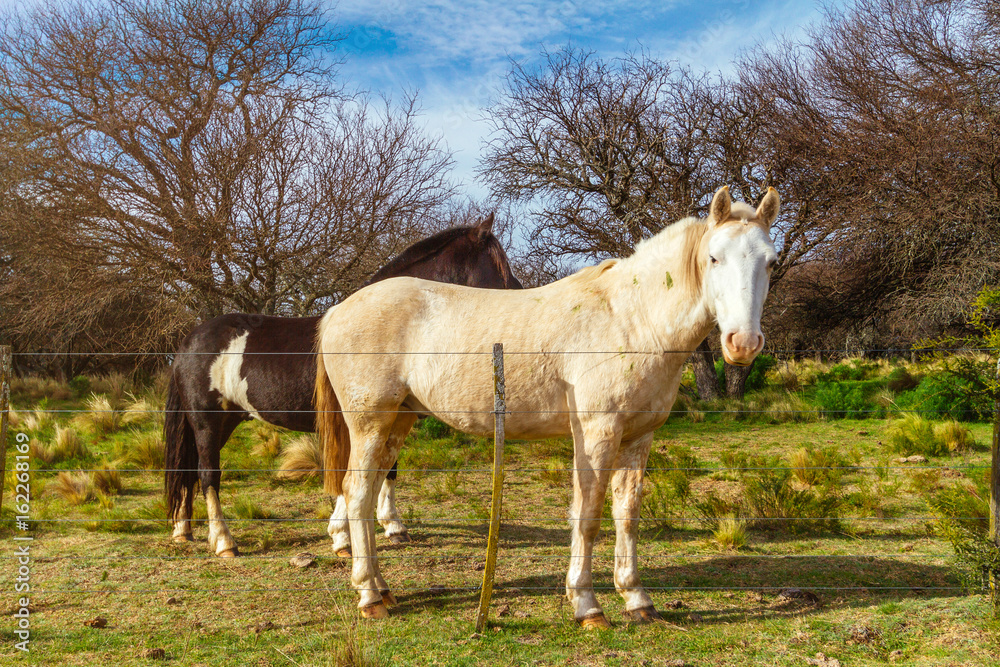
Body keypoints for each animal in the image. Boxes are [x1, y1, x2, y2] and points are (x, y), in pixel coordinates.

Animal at [164, 214, 523, 557]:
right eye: (499, 267)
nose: (521, 294)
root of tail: (188, 342)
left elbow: (386, 470)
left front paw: (389, 527)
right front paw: (346, 535)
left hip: (224, 422)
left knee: (191, 471)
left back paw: (184, 530)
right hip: (207, 422)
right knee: (208, 474)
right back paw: (224, 542)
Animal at [314, 186, 780, 626]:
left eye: (771, 263)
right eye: (714, 258)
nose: (743, 344)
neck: (633, 320)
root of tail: (337, 310)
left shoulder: (638, 437)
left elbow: (627, 515)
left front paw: (636, 598)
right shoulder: (597, 433)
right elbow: (588, 517)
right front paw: (587, 605)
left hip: (399, 421)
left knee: (368, 493)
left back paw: (381, 587)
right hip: (370, 423)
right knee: (357, 494)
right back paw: (370, 597)